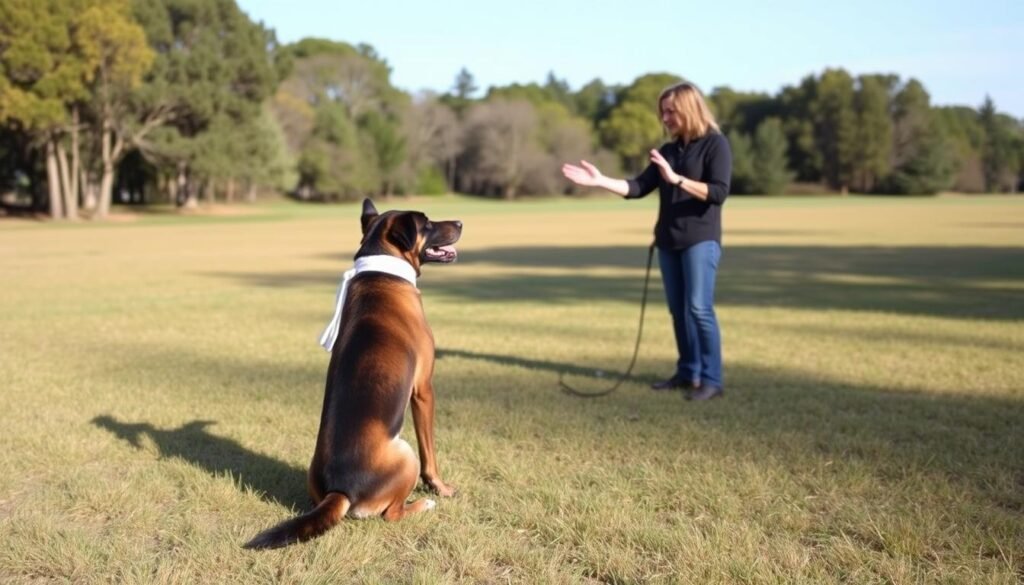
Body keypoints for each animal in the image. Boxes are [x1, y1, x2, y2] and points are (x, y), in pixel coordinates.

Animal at [243, 198, 460, 553]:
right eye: (427, 223)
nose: (460, 222)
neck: (384, 271)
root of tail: (340, 490)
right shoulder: (423, 390)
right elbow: (431, 455)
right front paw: (440, 488)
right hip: (405, 453)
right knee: (392, 514)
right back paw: (422, 505)